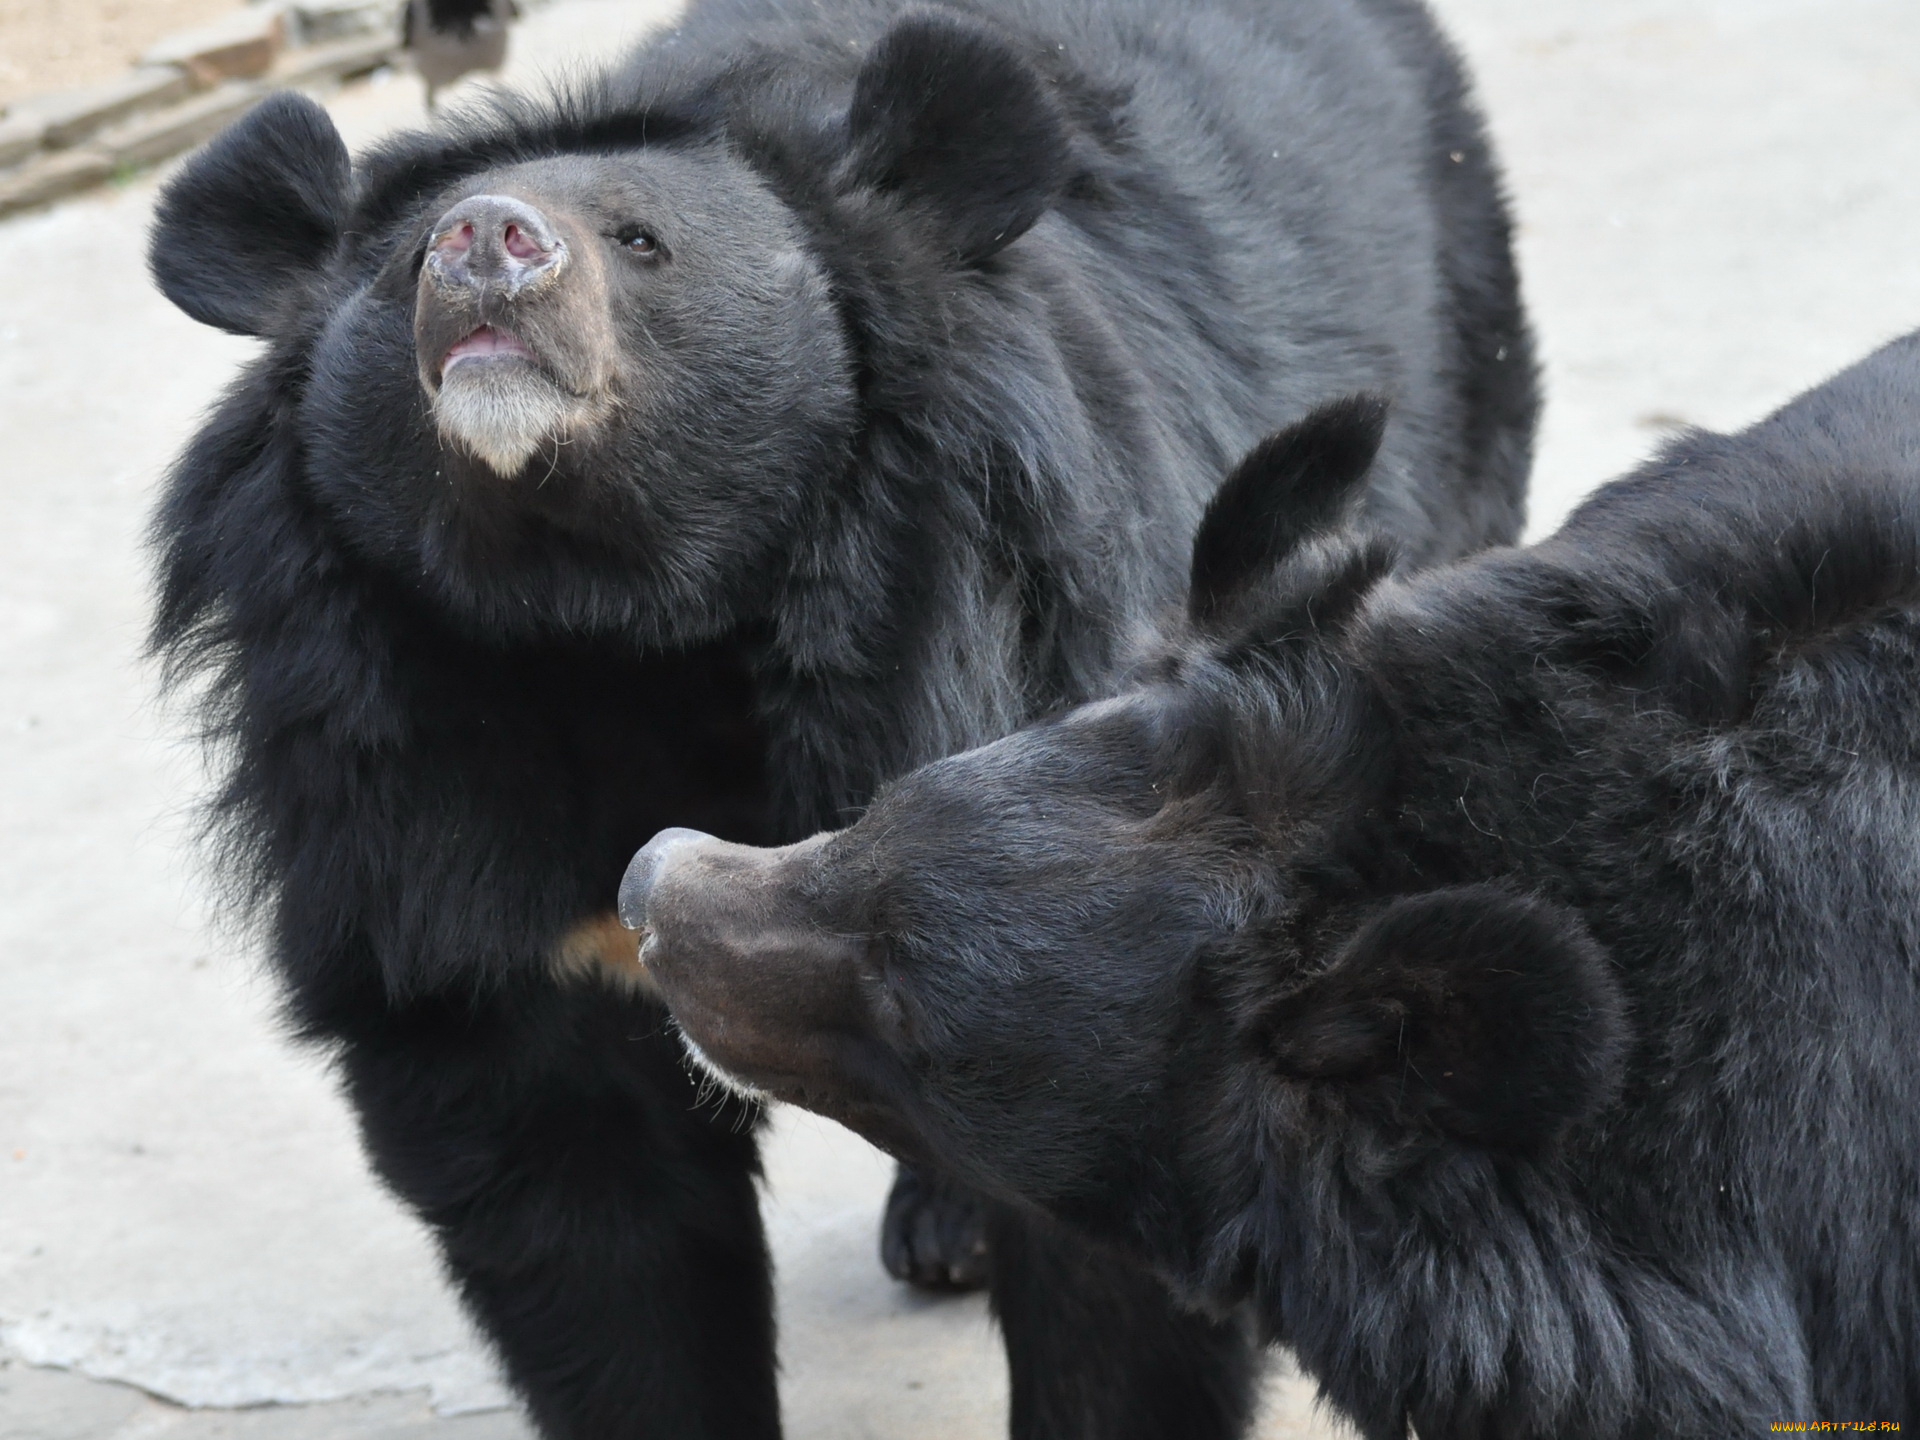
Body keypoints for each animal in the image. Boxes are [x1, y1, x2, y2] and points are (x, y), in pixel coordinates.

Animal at [142, 2, 1536, 1440]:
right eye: (414, 257)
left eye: (640, 239)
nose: (486, 239)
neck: (621, 623)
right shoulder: (419, 804)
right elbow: (586, 1220)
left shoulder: (1004, 646)